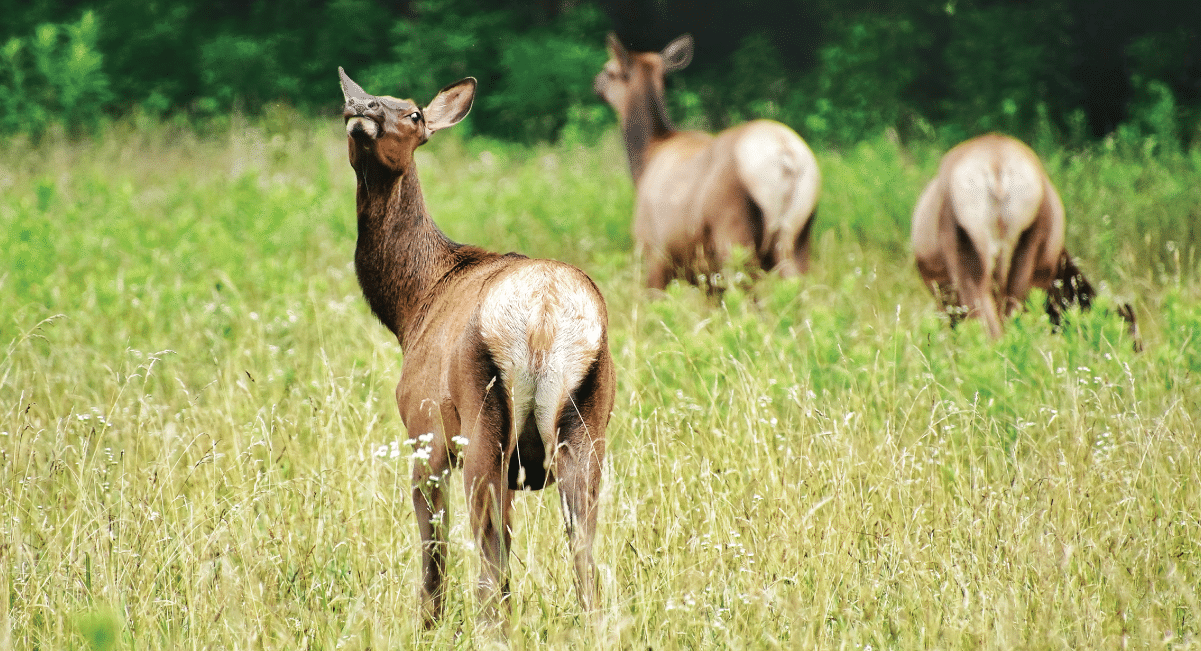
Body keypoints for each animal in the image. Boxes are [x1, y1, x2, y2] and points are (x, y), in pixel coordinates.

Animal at [338, 67, 616, 628]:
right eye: (355, 100)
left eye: (414, 113)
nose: (363, 107)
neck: (411, 307)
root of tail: (544, 319)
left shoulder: (424, 430)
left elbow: (434, 552)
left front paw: (427, 626)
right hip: (586, 423)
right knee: (584, 561)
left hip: (483, 419)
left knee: (488, 565)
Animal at [594, 33, 821, 291]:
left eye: (609, 69)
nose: (596, 82)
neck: (645, 159)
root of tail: (786, 155)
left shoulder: (653, 250)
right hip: (799, 232)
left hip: (733, 234)